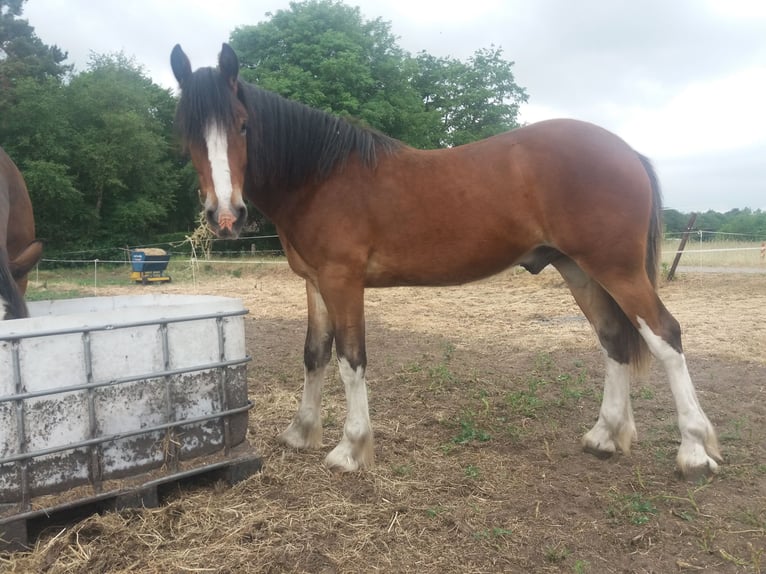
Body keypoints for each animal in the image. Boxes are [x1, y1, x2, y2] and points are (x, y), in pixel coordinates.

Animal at [171, 42, 724, 480]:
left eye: (243, 126)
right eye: (188, 132)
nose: (226, 215)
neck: (320, 178)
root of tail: (627, 151)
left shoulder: (343, 281)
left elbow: (351, 359)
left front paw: (351, 449)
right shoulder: (314, 282)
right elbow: (314, 354)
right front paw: (301, 432)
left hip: (617, 269)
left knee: (665, 336)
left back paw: (695, 452)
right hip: (580, 270)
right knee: (613, 339)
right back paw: (605, 436)